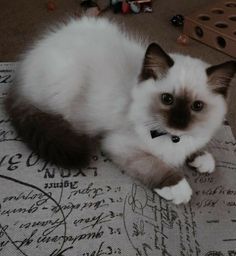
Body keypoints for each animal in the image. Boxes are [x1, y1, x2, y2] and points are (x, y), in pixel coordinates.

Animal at [5, 16, 234, 204]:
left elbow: (195, 146)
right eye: (167, 99)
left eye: (197, 106)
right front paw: (178, 188)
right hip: (67, 87)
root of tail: (24, 65)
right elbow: (155, 165)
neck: (172, 137)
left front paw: (202, 159)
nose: (179, 121)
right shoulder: (121, 145)